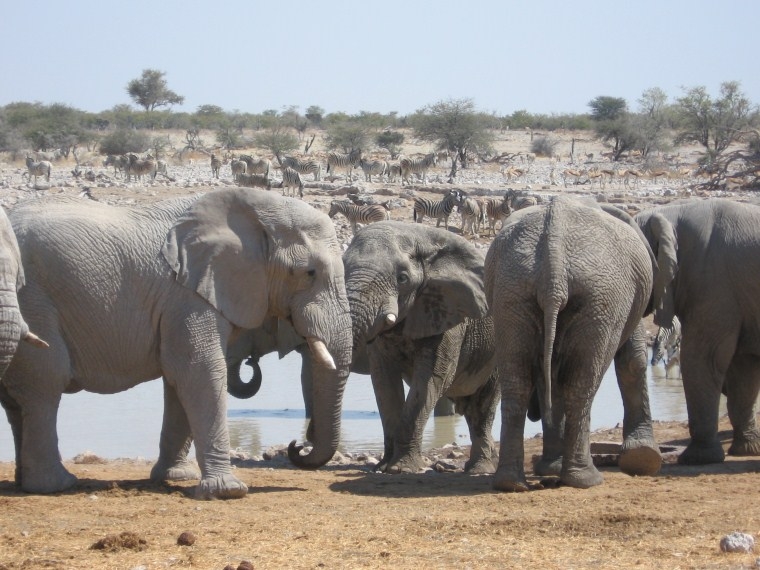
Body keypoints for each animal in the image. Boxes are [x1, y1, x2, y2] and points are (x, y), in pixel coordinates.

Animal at [0, 189, 354, 494]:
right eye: (308, 273)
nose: (298, 446)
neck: (258, 207)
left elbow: (178, 378)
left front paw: (177, 477)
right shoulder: (188, 296)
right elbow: (198, 369)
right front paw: (228, 491)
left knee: (18, 400)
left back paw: (24, 482)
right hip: (33, 301)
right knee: (45, 384)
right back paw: (55, 485)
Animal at [342, 220, 498, 472]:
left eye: (403, 278)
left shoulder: (449, 314)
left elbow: (430, 380)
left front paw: (400, 469)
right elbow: (384, 382)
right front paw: (382, 467)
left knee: (483, 406)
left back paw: (479, 469)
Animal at [486, 195, 660, 488]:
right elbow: (632, 359)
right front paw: (643, 460)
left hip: (512, 289)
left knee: (519, 382)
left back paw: (510, 483)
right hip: (601, 297)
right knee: (581, 385)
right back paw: (586, 479)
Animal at [632, 197, 760, 464]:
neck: (670, 213)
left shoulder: (713, 285)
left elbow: (701, 360)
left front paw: (697, 458)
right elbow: (744, 366)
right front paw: (745, 450)